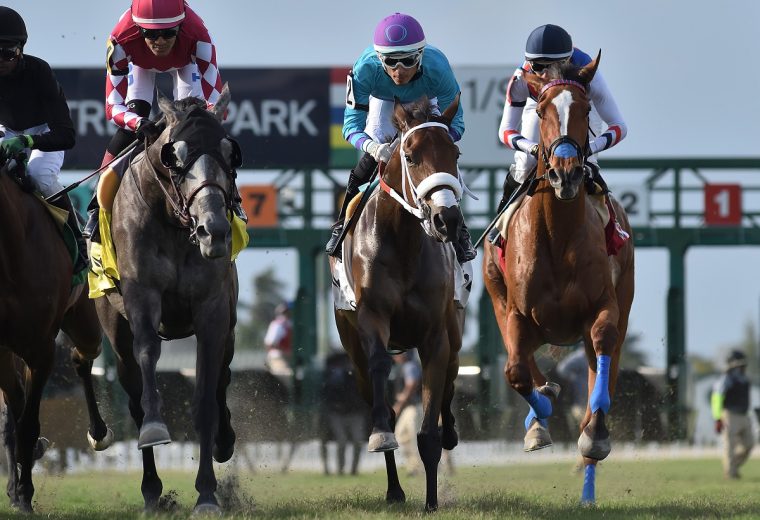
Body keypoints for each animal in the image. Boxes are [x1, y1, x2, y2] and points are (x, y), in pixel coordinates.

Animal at [0, 154, 112, 512]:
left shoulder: (41, 349)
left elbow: (28, 425)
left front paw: (25, 494)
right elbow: (16, 420)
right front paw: (19, 489)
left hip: (85, 322)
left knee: (81, 357)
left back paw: (98, 431)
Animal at [94, 84, 239, 512]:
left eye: (230, 152)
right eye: (174, 157)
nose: (214, 230)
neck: (174, 224)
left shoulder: (213, 309)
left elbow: (207, 398)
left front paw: (207, 493)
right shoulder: (142, 295)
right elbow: (147, 356)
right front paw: (155, 427)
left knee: (223, 377)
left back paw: (224, 442)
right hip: (114, 330)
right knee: (134, 394)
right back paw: (151, 489)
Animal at [332, 96, 464, 512]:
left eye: (455, 153)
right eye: (410, 155)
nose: (446, 220)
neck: (403, 240)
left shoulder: (436, 335)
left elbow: (429, 429)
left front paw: (432, 502)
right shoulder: (372, 320)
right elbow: (380, 374)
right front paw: (381, 437)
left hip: (455, 334)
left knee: (451, 381)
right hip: (351, 348)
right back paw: (393, 489)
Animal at [480, 53, 636, 504]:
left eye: (585, 109)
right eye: (543, 111)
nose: (566, 174)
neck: (558, 234)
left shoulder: (603, 309)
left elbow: (602, 352)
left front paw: (594, 435)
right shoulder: (516, 311)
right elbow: (514, 370)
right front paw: (540, 419)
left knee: (602, 369)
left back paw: (588, 485)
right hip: (501, 300)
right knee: (523, 360)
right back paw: (541, 411)